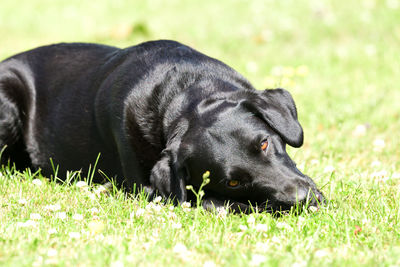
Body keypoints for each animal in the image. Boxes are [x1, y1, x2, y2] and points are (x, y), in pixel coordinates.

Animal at [0, 40, 324, 214]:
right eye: (232, 182)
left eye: (264, 143)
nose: (304, 201)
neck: (182, 95)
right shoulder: (151, 191)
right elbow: (210, 201)